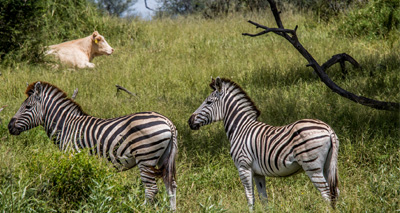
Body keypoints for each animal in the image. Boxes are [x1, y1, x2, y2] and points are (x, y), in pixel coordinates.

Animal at [8, 81, 177, 210]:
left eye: (27, 107)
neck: (66, 126)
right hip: (164, 157)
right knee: (171, 186)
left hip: (145, 157)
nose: (9, 126)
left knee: (151, 189)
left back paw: (141, 209)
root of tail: (167, 121)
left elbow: (75, 182)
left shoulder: (72, 154)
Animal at [188, 77, 338, 210]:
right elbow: (263, 199)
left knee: (326, 194)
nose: (190, 121)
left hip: (312, 165)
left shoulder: (243, 167)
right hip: (328, 165)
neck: (240, 128)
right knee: (334, 193)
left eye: (208, 102)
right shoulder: (258, 173)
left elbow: (250, 198)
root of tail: (328, 129)